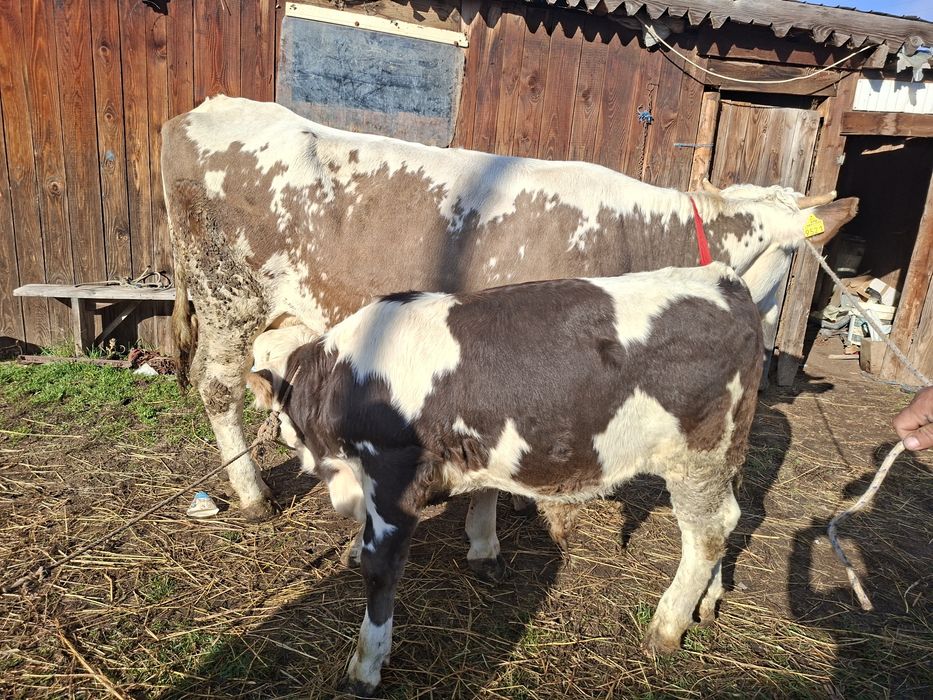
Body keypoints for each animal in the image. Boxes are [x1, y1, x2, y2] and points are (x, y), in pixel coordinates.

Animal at [161, 95, 857, 528]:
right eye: (792, 250)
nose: (762, 326)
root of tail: (205, 110)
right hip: (227, 293)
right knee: (217, 387)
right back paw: (252, 495)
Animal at [249, 262, 764, 694]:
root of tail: (724, 278)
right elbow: (483, 492)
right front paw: (482, 550)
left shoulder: (392, 476)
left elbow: (381, 570)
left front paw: (366, 666)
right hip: (720, 458)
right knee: (727, 520)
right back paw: (707, 601)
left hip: (697, 456)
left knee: (706, 532)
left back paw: (667, 626)